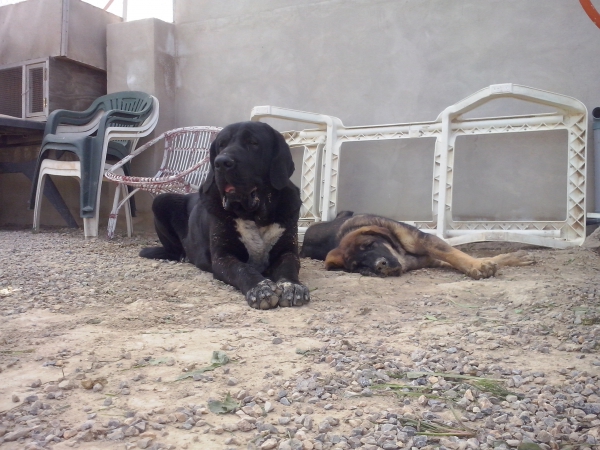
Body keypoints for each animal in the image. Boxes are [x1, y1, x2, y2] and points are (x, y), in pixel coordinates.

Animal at [140, 122, 310, 310]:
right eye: (221, 145)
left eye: (253, 142)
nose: (221, 162)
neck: (254, 216)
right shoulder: (223, 257)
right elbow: (243, 269)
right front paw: (260, 289)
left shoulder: (288, 251)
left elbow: (288, 267)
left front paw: (292, 286)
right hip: (161, 200)